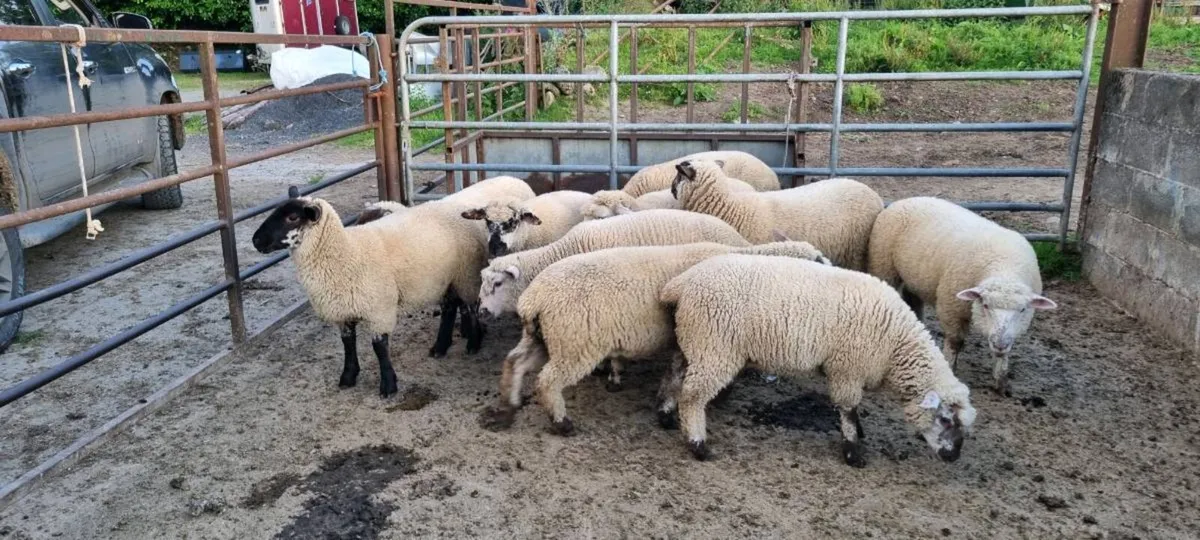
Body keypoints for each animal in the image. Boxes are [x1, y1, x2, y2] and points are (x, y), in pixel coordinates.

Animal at [249, 177, 532, 398]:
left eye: (292, 217)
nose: (256, 241)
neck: (346, 253)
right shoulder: (342, 310)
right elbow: (348, 344)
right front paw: (348, 377)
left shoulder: (379, 310)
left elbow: (379, 348)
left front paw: (388, 385)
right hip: (447, 277)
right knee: (450, 308)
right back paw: (440, 347)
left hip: (466, 275)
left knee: (471, 307)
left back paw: (472, 343)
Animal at [484, 237, 831, 434]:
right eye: (818, 264)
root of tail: (535, 297)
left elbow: (675, 374)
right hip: (575, 343)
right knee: (547, 382)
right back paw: (561, 423)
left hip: (544, 336)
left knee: (515, 362)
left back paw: (508, 406)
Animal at [660, 254, 977, 467]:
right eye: (945, 419)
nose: (953, 456)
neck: (896, 345)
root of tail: (681, 284)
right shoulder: (848, 369)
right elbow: (848, 409)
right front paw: (853, 452)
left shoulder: (849, 370)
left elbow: (853, 409)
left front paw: (859, 434)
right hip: (715, 347)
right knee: (692, 396)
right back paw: (698, 444)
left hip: (691, 342)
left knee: (673, 378)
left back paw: (665, 416)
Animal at [866, 196, 1057, 396]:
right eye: (986, 305)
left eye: (1022, 310)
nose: (999, 343)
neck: (1004, 268)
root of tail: (908, 199)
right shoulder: (951, 306)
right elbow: (955, 342)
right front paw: (950, 368)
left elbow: (1003, 355)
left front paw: (1001, 381)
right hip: (884, 266)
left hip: (914, 277)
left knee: (913, 301)